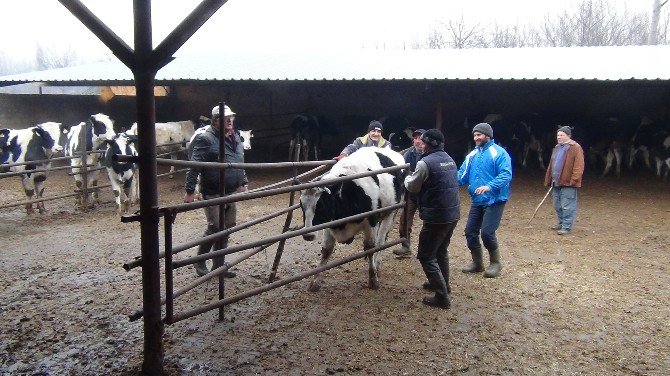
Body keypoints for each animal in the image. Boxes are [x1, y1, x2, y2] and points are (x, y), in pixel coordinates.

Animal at [302, 146, 406, 290]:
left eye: (321, 206)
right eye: (301, 206)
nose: (308, 235)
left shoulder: (371, 222)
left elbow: (370, 248)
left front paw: (373, 279)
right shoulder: (329, 225)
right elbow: (326, 251)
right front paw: (315, 281)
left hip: (390, 213)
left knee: (381, 241)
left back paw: (377, 264)